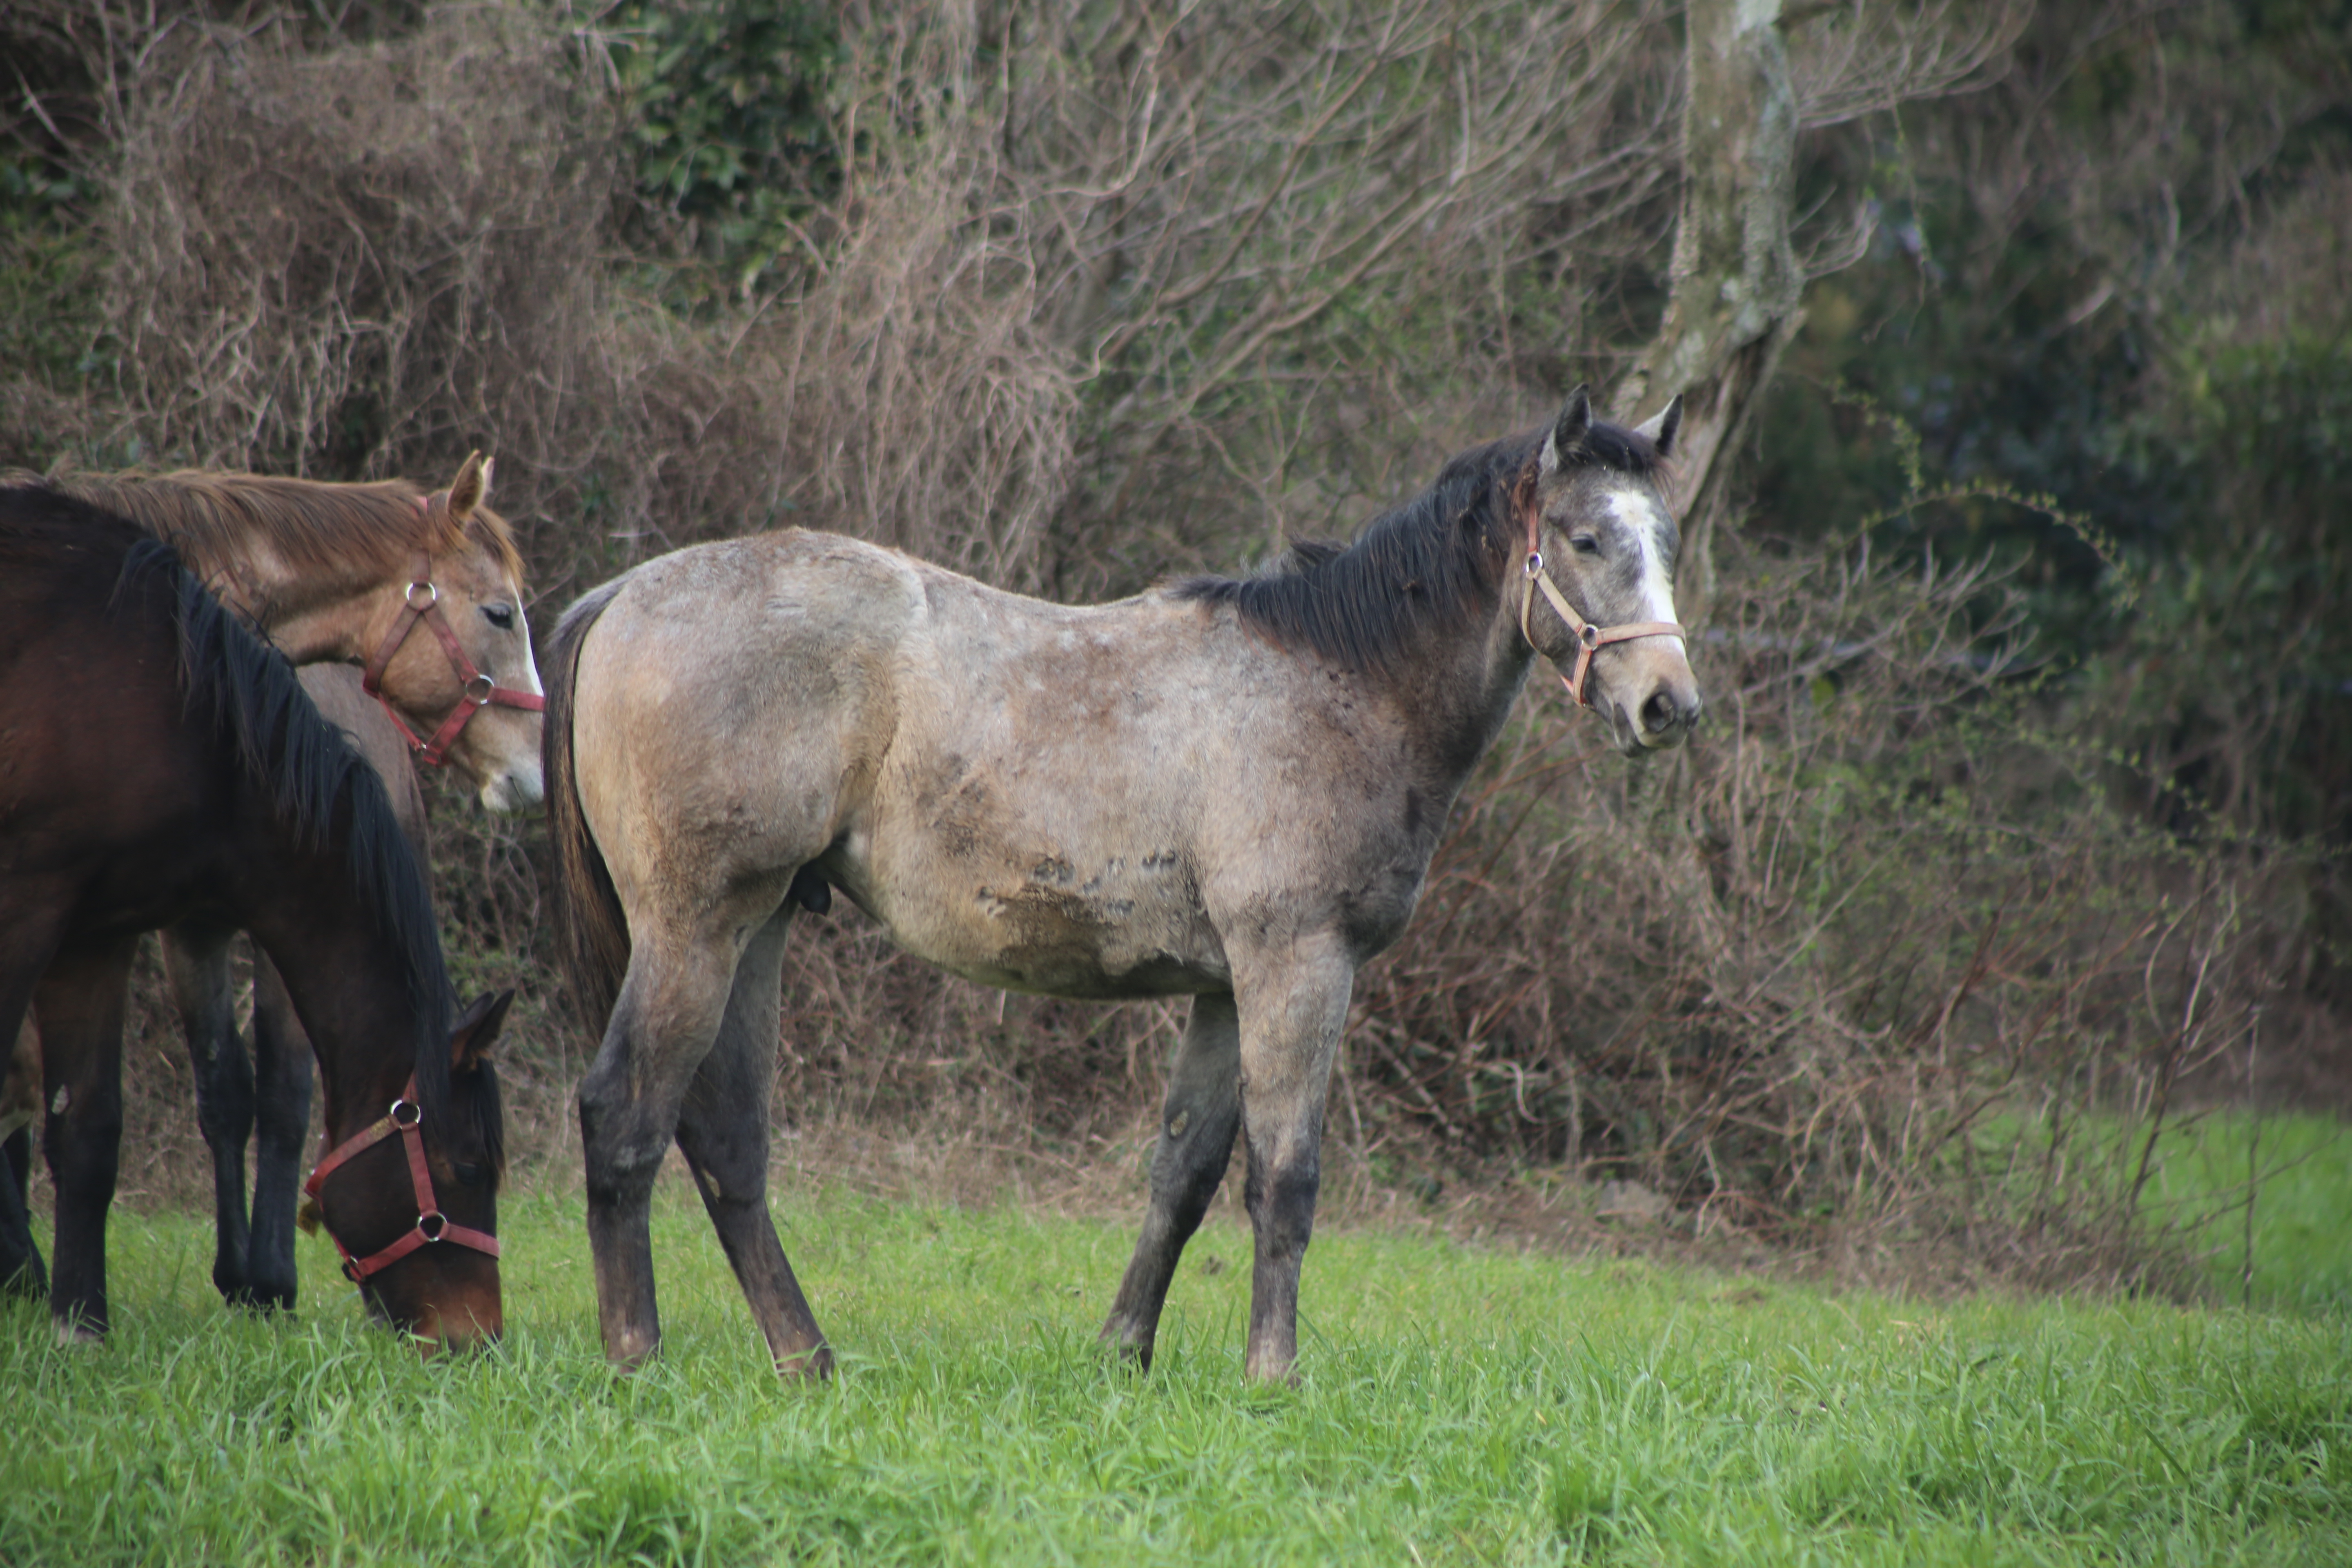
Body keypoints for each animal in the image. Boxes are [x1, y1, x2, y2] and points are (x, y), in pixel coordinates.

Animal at [0, 456, 539, 1316]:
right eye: (500, 612)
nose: (534, 768)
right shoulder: (184, 923)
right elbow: (224, 1091)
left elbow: (273, 1094)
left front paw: (260, 1277)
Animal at [546, 385, 1693, 1382]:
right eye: (1586, 538)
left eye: (1666, 541)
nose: (1669, 706)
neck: (1340, 685)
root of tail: (623, 594)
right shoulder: (1297, 967)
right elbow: (1286, 1180)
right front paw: (1272, 1375)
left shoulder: (1225, 988)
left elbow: (1182, 1177)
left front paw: (1121, 1355)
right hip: (695, 928)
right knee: (624, 1114)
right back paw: (637, 1358)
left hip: (760, 925)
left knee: (726, 1140)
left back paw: (808, 1361)